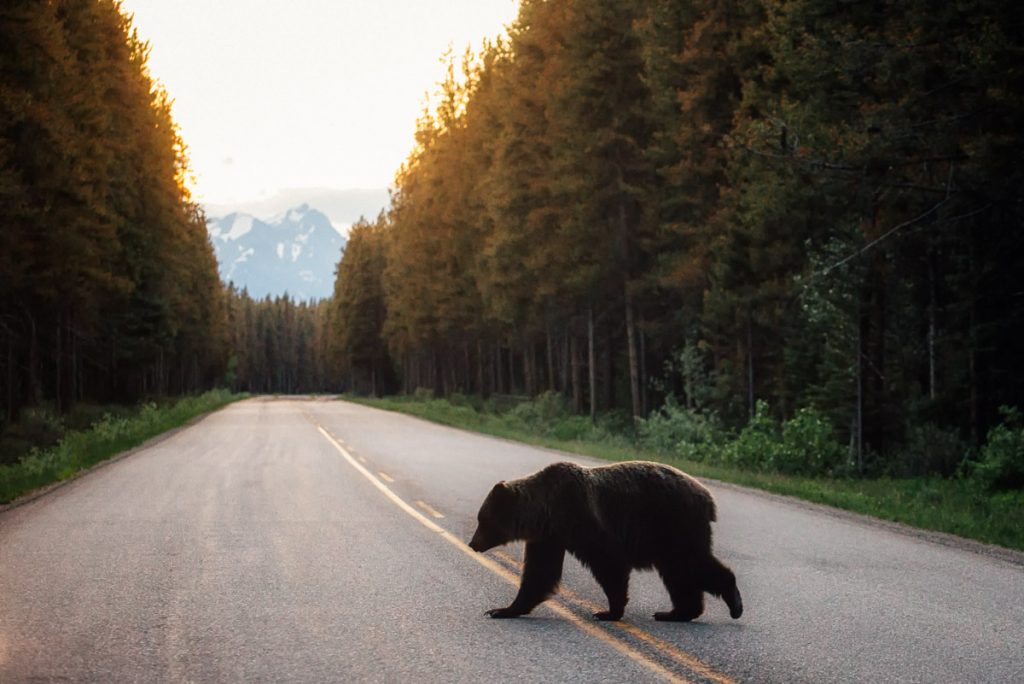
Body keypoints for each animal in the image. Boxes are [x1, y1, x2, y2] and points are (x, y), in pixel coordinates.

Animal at [468, 460, 743, 622]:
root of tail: (707, 497)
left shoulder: (583, 521)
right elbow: (539, 573)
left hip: (674, 522)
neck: (547, 512)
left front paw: (608, 611)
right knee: (678, 573)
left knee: (690, 563)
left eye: (482, 520)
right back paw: (675, 612)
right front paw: (504, 609)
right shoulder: (549, 537)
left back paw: (734, 602)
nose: (472, 543)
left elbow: (608, 563)